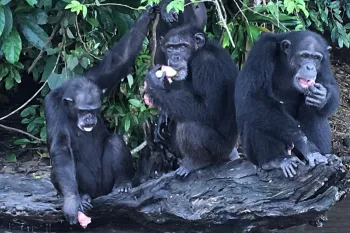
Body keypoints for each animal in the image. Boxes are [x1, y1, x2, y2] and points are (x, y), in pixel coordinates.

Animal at [43, 6, 154, 226]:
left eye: (94, 110)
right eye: (83, 111)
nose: (89, 118)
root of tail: (98, 194)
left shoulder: (97, 80)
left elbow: (119, 61)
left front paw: (149, 14)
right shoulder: (51, 106)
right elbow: (61, 147)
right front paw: (71, 201)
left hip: (105, 185)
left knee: (114, 141)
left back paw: (122, 184)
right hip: (91, 189)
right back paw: (83, 196)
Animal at [144, 25, 239, 177]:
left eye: (182, 46)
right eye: (171, 48)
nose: (175, 57)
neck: (196, 54)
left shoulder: (207, 65)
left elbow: (206, 108)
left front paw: (154, 85)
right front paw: (163, 117)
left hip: (220, 150)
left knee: (189, 126)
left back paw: (195, 163)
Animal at [234, 30, 340, 177]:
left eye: (316, 58)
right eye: (304, 56)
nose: (310, 67)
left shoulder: (325, 62)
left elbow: (330, 86)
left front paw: (323, 96)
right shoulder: (261, 51)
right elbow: (254, 96)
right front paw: (306, 145)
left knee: (312, 110)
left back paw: (326, 155)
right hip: (252, 154)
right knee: (258, 114)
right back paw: (275, 160)